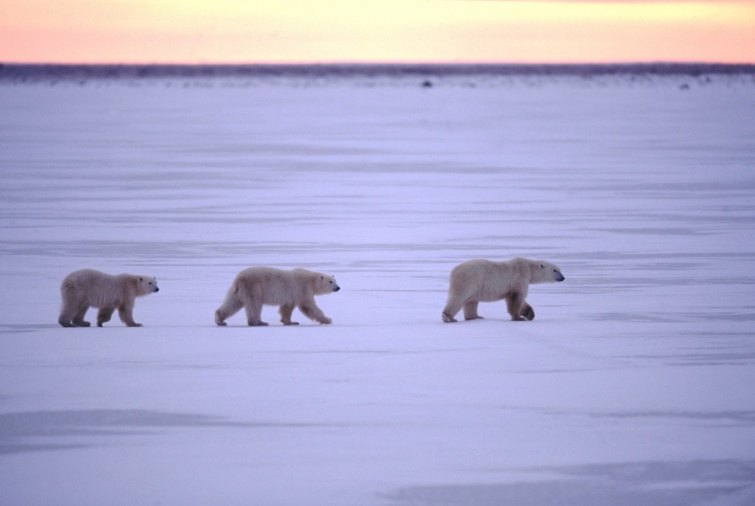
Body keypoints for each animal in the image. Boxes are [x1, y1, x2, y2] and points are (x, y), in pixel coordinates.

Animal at [214, 266, 342, 326]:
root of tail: (238, 278)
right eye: (330, 281)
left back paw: (220, 320)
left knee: (233, 303)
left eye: (335, 280)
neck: (310, 280)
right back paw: (259, 322)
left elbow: (287, 308)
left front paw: (290, 322)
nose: (338, 288)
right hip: (254, 287)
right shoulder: (302, 288)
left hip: (239, 291)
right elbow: (308, 306)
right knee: (254, 304)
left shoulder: (292, 294)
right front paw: (327, 319)